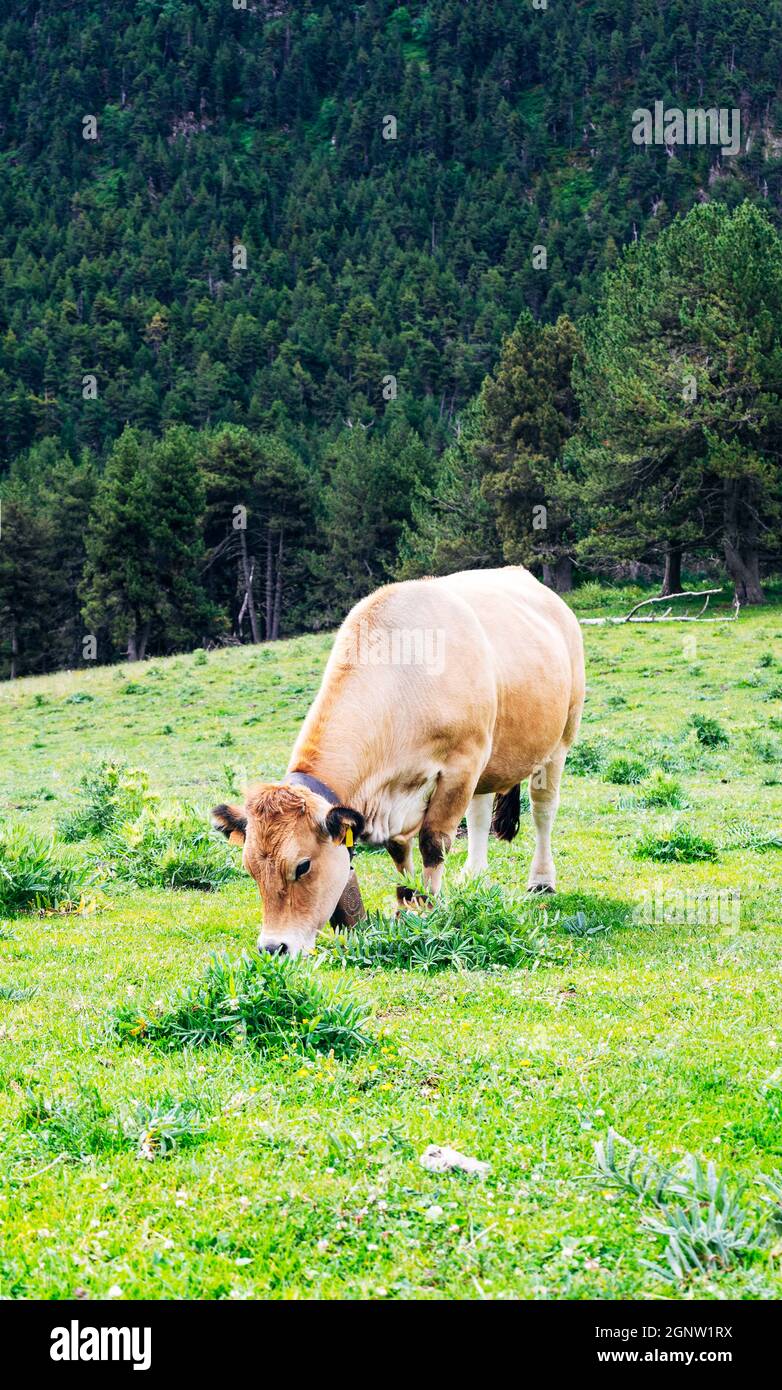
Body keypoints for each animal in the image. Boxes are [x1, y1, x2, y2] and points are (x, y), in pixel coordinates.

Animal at [212, 566, 585, 957]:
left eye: (302, 866)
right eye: (250, 870)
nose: (273, 948)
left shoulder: (460, 767)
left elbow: (433, 843)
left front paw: (430, 908)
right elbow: (398, 848)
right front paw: (406, 904)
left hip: (559, 742)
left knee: (543, 811)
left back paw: (541, 880)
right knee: (480, 815)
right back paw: (474, 876)